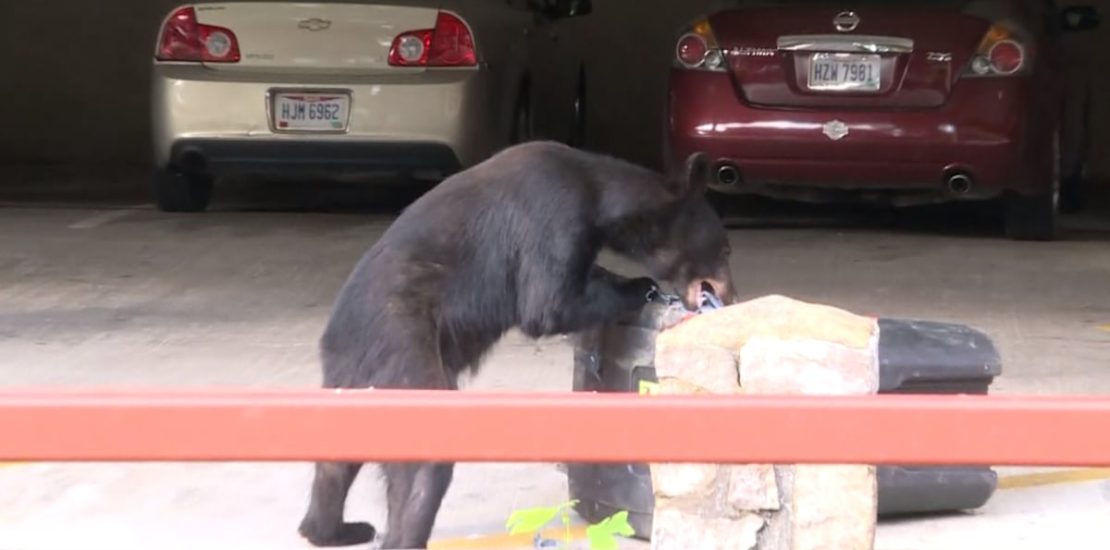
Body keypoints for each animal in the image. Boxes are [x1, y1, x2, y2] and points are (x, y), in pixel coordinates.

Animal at [299, 140, 741, 548]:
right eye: (724, 247)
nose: (731, 293)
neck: (598, 193)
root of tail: (339, 335)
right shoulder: (553, 215)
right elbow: (548, 302)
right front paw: (642, 287)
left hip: (352, 374)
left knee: (335, 461)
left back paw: (333, 529)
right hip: (403, 344)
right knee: (424, 462)